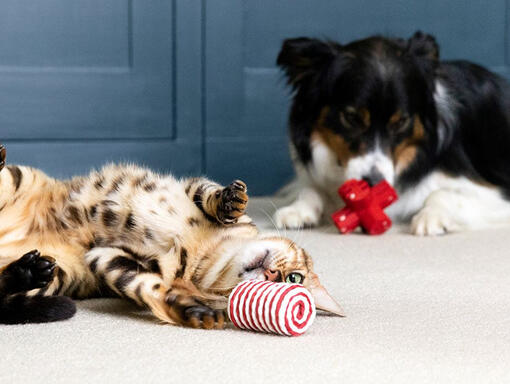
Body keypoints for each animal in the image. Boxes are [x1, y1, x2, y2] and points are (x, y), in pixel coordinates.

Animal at [0, 146, 344, 328]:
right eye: (294, 277)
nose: (272, 274)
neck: (212, 252)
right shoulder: (191, 186)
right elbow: (211, 194)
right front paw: (230, 201)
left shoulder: (106, 257)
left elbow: (150, 288)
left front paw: (190, 310)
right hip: (19, 177)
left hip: (59, 274)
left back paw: (27, 270)